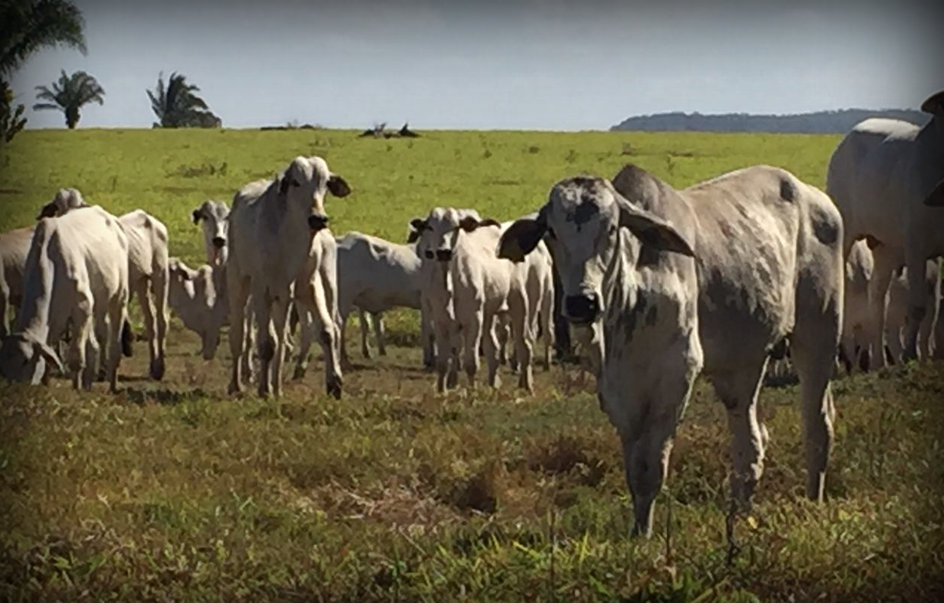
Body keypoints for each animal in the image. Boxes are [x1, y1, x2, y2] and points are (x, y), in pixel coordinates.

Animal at [0, 204, 129, 392]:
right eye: (2, 366)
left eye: (25, 361)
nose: (14, 390)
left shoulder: (82, 307)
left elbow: (76, 358)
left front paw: (76, 389)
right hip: (99, 303)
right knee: (95, 342)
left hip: (119, 297)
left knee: (113, 345)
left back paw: (112, 383)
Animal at [226, 157, 350, 402]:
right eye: (295, 182)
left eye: (325, 184)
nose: (318, 219)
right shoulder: (262, 290)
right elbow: (266, 344)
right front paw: (265, 389)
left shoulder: (308, 287)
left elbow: (326, 331)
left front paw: (335, 383)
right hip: (240, 280)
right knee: (239, 333)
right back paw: (237, 384)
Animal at [498, 165, 844, 536]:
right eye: (552, 231)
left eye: (611, 228)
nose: (582, 302)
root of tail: (814, 197)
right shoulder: (617, 391)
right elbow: (635, 470)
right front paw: (638, 531)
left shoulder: (676, 376)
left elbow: (652, 467)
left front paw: (644, 537)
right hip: (740, 365)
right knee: (750, 441)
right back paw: (739, 515)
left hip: (818, 333)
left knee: (818, 424)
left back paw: (812, 499)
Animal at [828, 91, 944, 368]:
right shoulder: (915, 245)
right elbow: (917, 306)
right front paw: (910, 354)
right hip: (848, 235)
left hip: (885, 249)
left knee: (878, 299)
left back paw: (879, 361)